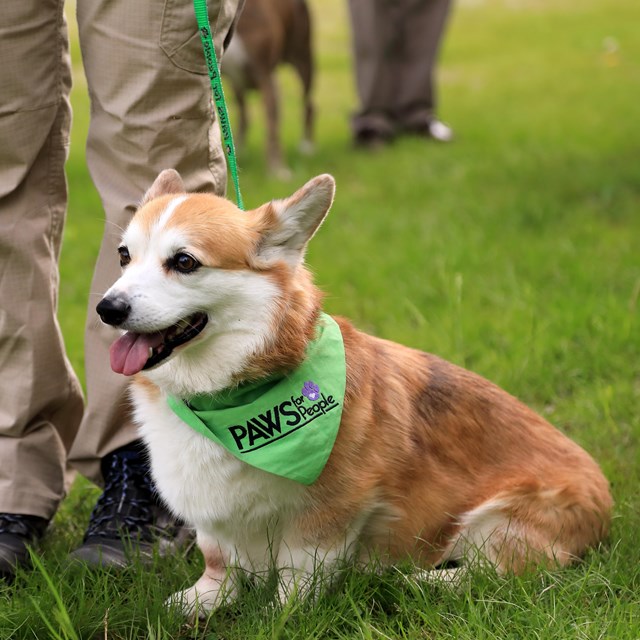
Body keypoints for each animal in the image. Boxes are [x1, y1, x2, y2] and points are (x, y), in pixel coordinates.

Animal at [96, 170, 608, 616]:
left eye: (184, 262)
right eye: (124, 256)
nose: (107, 309)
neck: (229, 395)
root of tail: (606, 499)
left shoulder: (330, 512)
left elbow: (298, 575)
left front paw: (279, 617)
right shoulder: (212, 516)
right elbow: (217, 559)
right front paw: (204, 600)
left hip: (494, 519)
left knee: (497, 573)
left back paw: (414, 581)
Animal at [222, 0, 316, 179]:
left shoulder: (267, 77)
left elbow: (273, 129)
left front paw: (277, 169)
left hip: (303, 58)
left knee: (309, 104)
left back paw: (307, 145)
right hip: (237, 86)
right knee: (243, 113)